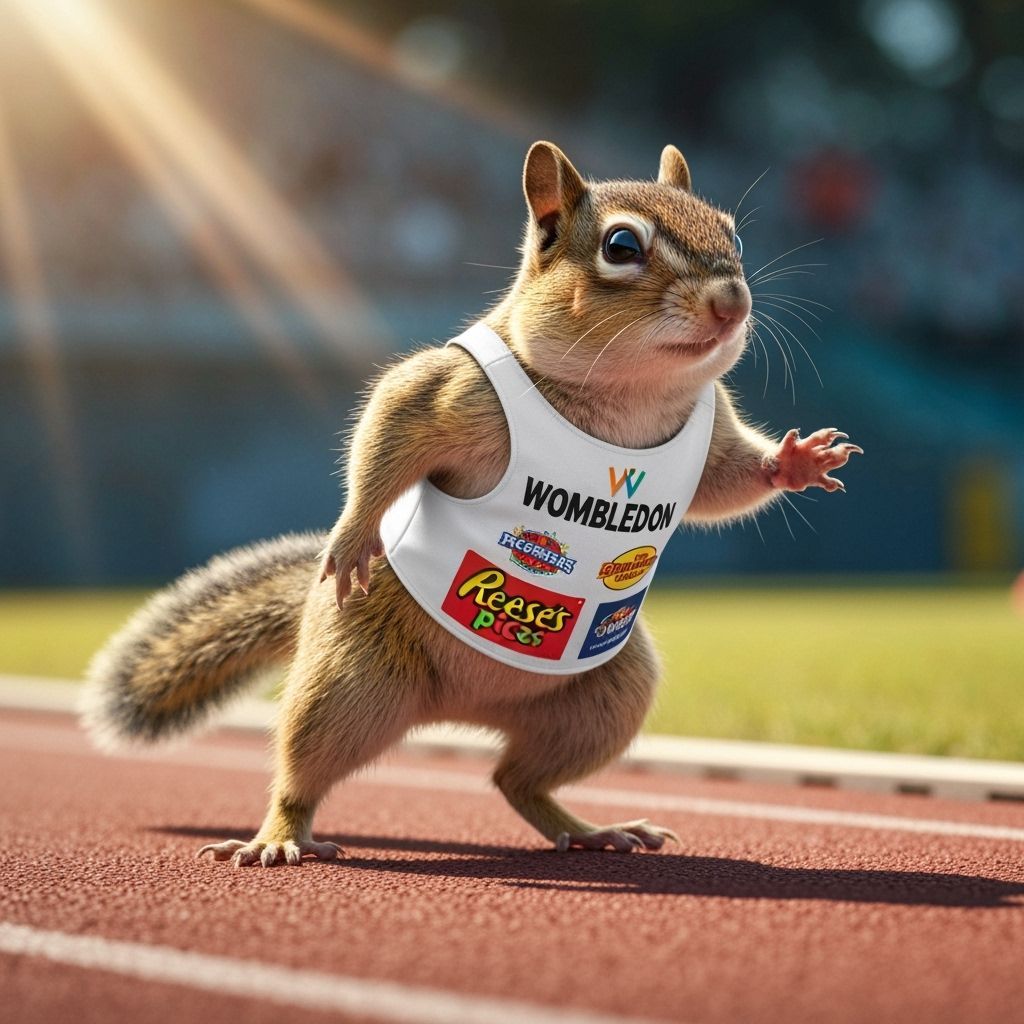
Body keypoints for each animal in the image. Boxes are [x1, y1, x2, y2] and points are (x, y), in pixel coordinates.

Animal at [81, 142, 861, 867]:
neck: (630, 395)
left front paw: (797, 460)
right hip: (348, 682)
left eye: (734, 234)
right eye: (621, 246)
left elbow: (727, 482)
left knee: (516, 780)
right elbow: (389, 426)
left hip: (607, 698)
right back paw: (278, 837)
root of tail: (461, 709)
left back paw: (592, 830)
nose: (733, 303)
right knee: (303, 773)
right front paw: (354, 535)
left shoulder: (712, 432)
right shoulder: (451, 389)